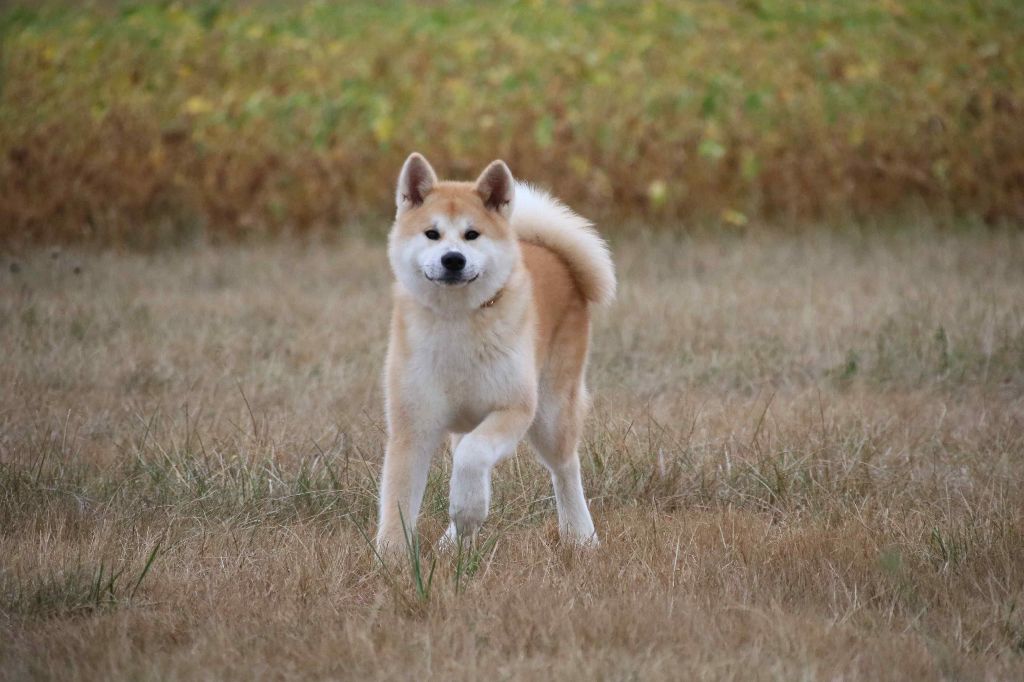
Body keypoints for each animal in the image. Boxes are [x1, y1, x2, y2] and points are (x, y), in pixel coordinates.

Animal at [378, 152, 610, 552]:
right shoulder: (413, 425)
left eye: (472, 234)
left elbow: (473, 458)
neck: (458, 320)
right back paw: (453, 543)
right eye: (431, 233)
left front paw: (469, 509)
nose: (453, 259)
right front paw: (390, 558)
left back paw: (581, 536)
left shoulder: (514, 408)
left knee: (565, 469)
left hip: (550, 415)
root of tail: (554, 256)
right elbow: (399, 502)